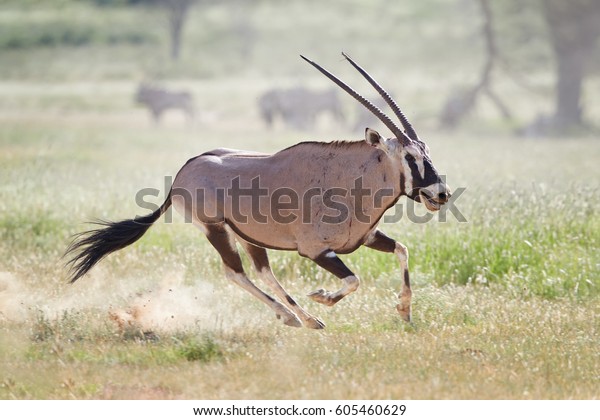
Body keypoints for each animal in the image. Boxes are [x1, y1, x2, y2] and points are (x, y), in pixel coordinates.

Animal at [67, 53, 450, 328]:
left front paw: (404, 312)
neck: (353, 178)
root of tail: (184, 171)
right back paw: (298, 316)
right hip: (217, 230)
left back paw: (298, 317)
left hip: (248, 235)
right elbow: (354, 280)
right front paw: (322, 297)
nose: (441, 193)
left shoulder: (366, 238)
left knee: (262, 271)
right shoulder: (317, 251)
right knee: (235, 272)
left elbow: (402, 250)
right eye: (409, 156)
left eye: (427, 150)